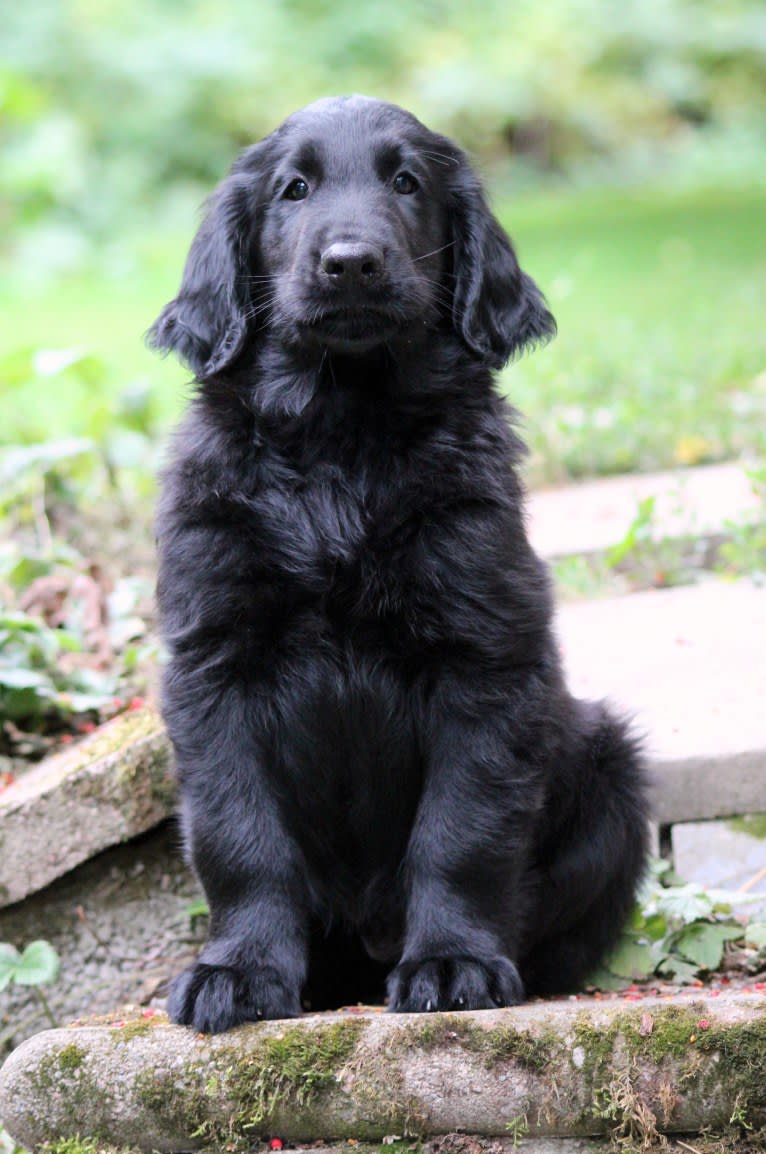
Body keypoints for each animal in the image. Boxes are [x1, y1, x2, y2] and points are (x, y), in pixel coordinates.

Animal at [147, 96, 646, 1038]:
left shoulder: (485, 660)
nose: (351, 263)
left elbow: (462, 830)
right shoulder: (214, 664)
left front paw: (452, 962)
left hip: (611, 767)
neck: (344, 437)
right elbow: (238, 834)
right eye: (294, 189)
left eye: (407, 183)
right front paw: (239, 970)